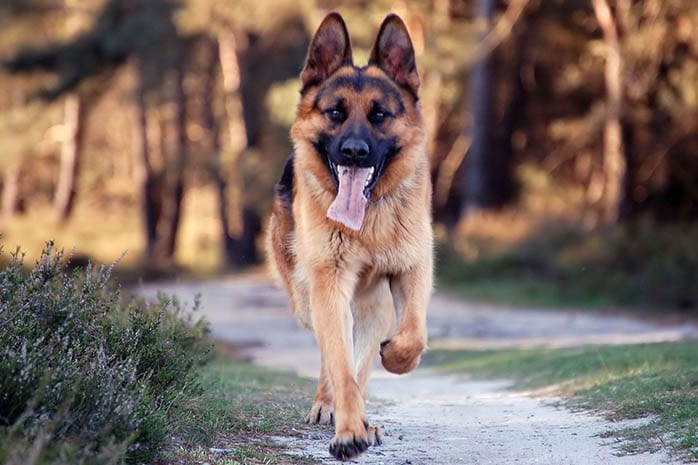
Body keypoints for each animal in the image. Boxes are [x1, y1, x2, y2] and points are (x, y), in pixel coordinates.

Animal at [266, 10, 430, 460]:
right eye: (336, 113)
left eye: (379, 115)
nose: (354, 152)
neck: (368, 226)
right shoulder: (329, 286)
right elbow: (339, 363)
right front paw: (349, 431)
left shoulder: (414, 270)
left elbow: (413, 336)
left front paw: (396, 359)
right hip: (309, 299)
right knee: (331, 356)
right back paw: (330, 407)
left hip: (374, 309)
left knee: (363, 357)